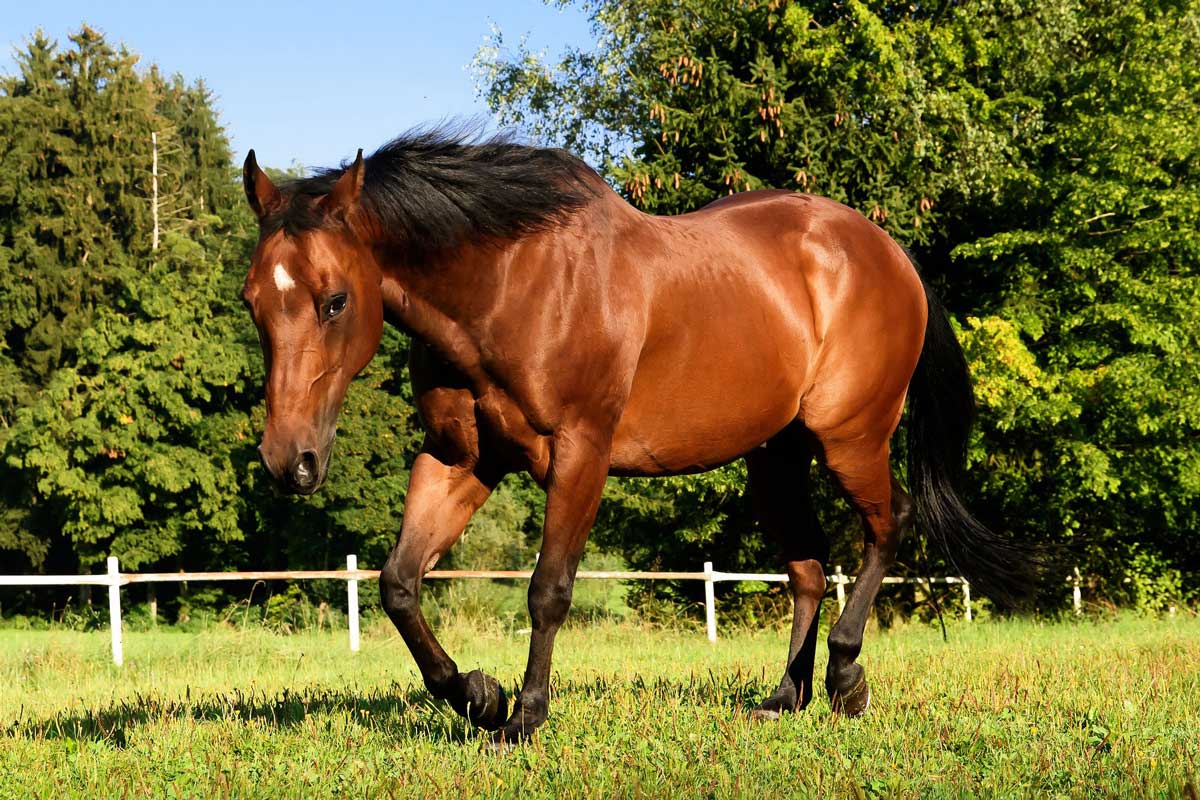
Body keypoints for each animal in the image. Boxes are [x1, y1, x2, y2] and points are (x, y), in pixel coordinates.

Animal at [238, 126, 1027, 743]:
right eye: (251, 302)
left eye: (335, 300)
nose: (288, 460)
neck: (510, 285)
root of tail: (888, 252)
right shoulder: (458, 459)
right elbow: (399, 585)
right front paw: (479, 698)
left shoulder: (580, 455)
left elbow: (548, 589)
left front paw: (524, 717)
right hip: (775, 456)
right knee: (807, 567)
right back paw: (783, 698)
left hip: (851, 438)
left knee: (887, 529)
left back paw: (845, 675)